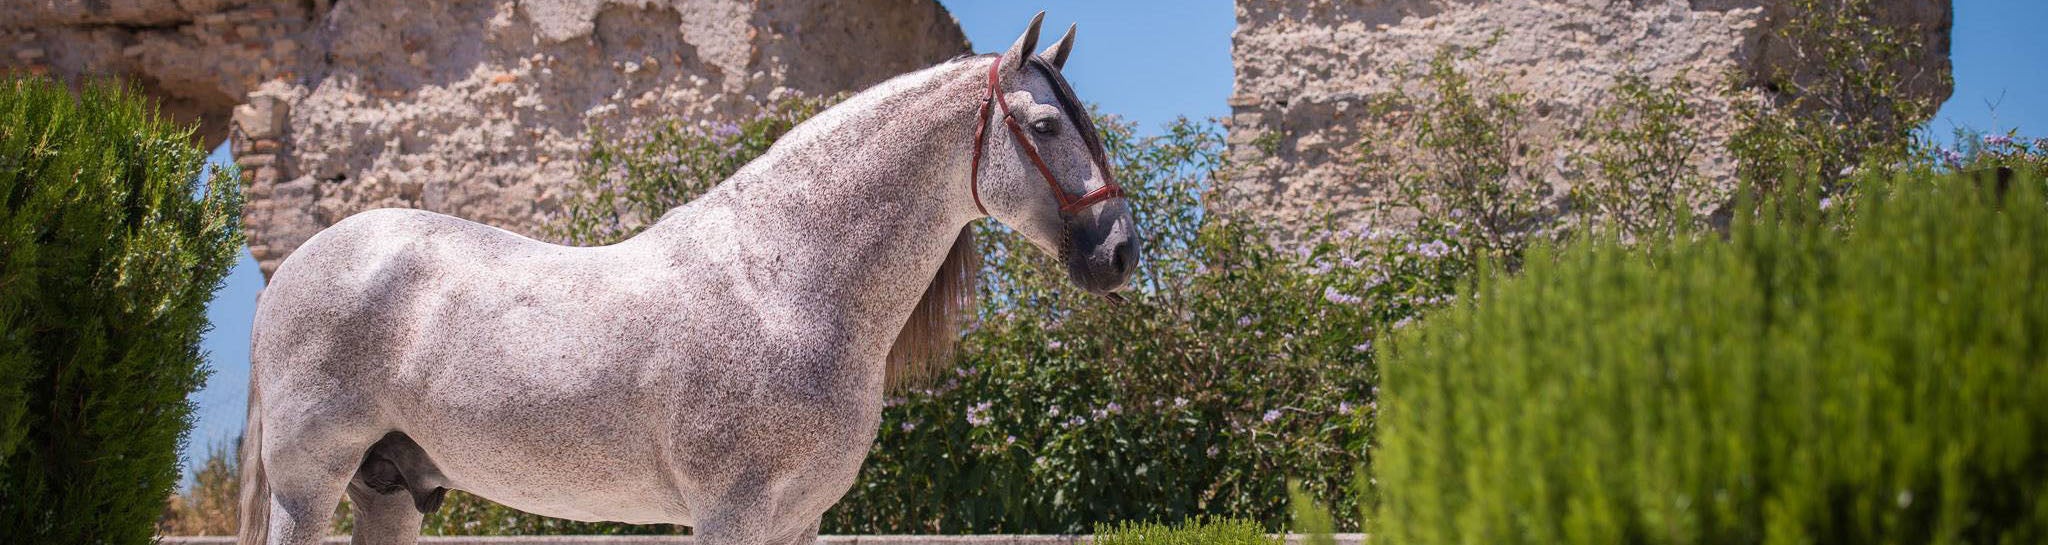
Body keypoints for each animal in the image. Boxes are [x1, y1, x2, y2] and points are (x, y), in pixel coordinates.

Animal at [241, 12, 1146, 545]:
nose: (1120, 253)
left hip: (390, 490)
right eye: (1045, 124)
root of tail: (295, 269)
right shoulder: (730, 512)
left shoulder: (799, 520)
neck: (783, 284)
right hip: (307, 486)